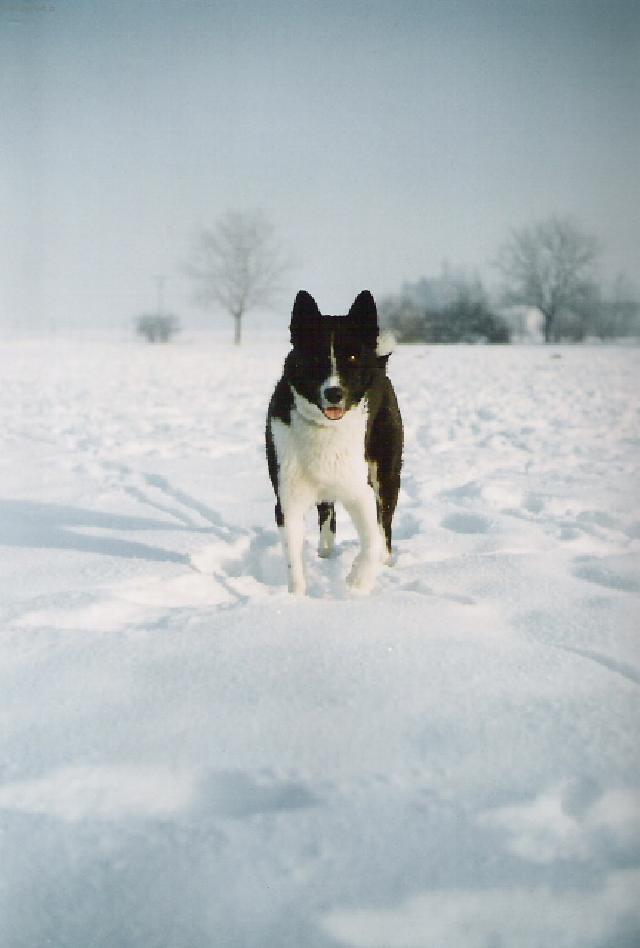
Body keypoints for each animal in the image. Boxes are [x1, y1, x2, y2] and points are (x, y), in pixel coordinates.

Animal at [264, 288, 402, 592]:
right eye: (316, 357)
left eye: (351, 357)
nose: (334, 393)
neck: (324, 427)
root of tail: (379, 364)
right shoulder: (288, 499)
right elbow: (294, 563)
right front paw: (295, 598)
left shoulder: (360, 491)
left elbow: (372, 540)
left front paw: (357, 583)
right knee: (327, 510)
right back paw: (326, 551)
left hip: (386, 473)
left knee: (384, 525)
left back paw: (386, 562)